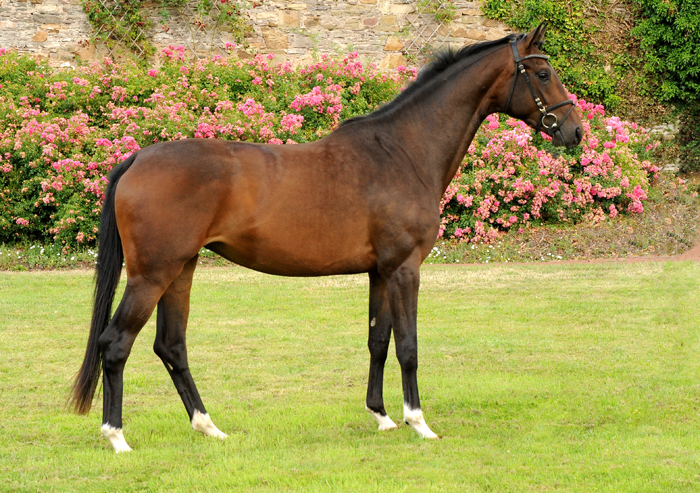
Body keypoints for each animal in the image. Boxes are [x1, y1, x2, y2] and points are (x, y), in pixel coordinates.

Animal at [72, 25, 584, 452]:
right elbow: (408, 346)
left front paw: (382, 417)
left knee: (171, 346)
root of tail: (137, 158)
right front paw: (418, 422)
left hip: (181, 270)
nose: (576, 131)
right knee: (115, 343)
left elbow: (378, 340)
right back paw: (117, 438)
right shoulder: (405, 269)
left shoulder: (380, 271)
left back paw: (208, 427)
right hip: (151, 275)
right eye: (543, 73)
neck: (402, 151)